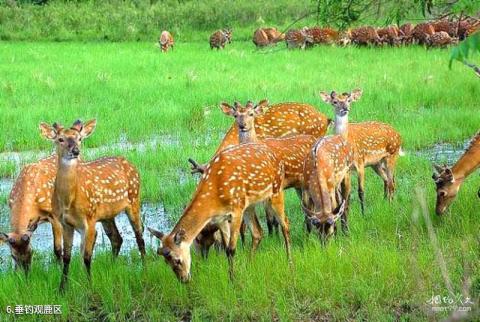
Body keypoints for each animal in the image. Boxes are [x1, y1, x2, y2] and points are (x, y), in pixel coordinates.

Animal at [39, 119, 145, 290]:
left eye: (79, 139)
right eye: (60, 139)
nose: (75, 151)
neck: (68, 201)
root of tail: (130, 164)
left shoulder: (89, 220)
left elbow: (87, 257)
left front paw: (90, 285)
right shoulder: (65, 223)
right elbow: (67, 257)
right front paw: (62, 288)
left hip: (134, 198)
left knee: (139, 236)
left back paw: (145, 269)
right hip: (106, 214)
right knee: (117, 238)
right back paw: (111, 267)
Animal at [148, 143, 290, 282]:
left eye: (177, 260)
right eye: (166, 262)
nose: (184, 280)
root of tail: (275, 155)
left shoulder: (236, 210)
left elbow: (232, 249)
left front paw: (233, 281)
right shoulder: (221, 219)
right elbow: (226, 249)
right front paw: (233, 276)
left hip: (276, 191)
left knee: (285, 224)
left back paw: (290, 262)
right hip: (250, 205)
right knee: (257, 232)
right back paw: (249, 264)